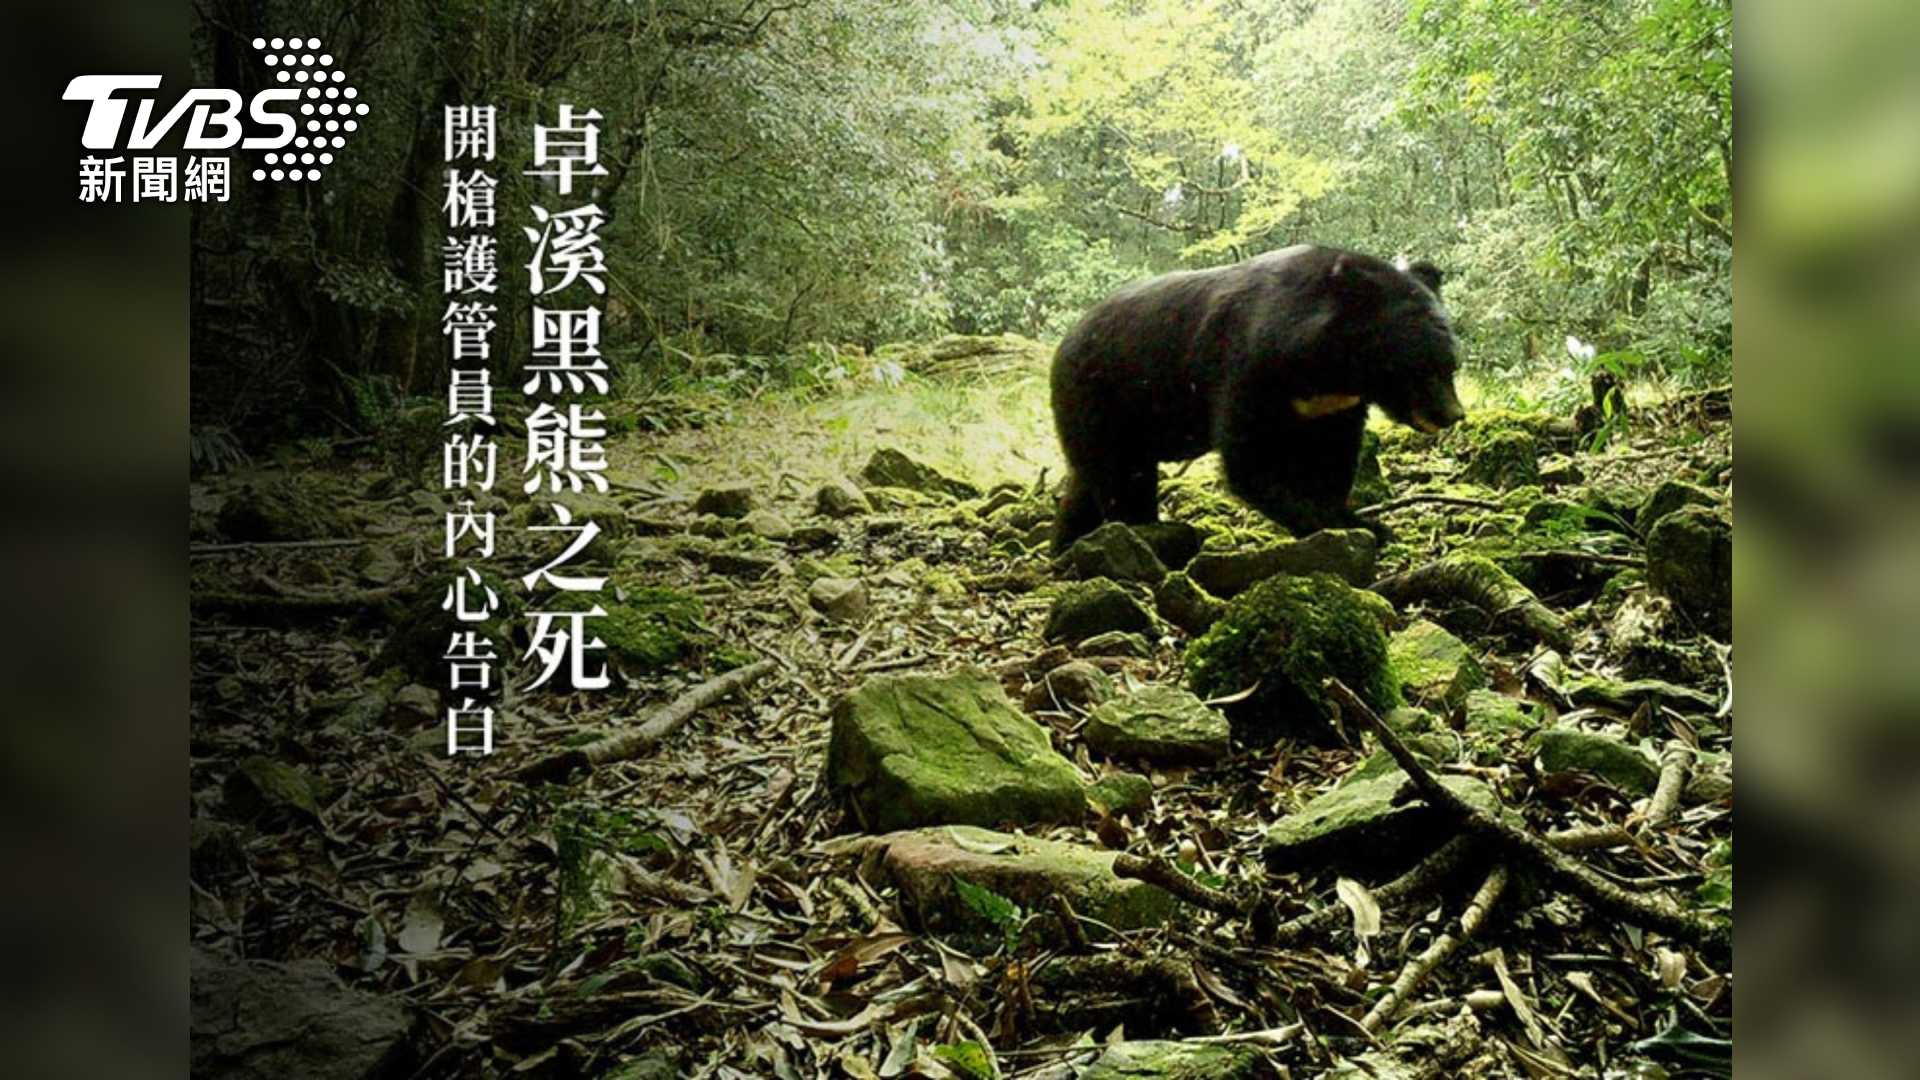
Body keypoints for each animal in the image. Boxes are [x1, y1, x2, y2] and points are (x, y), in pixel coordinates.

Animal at [1050, 244, 1466, 552]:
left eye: (1452, 365)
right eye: (1420, 367)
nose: (1453, 415)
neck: (1329, 368)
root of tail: (1063, 344)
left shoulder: (1334, 405)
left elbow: (1333, 457)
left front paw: (1360, 522)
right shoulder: (1250, 366)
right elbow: (1251, 458)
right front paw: (1328, 523)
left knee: (1086, 483)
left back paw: (1067, 544)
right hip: (1102, 399)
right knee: (1121, 475)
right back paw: (1141, 530)